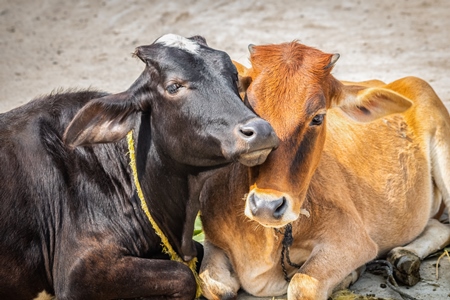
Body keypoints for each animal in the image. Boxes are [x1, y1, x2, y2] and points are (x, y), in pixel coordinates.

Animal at [199, 41, 450, 300]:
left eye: (318, 117)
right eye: (248, 107)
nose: (267, 206)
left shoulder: (354, 240)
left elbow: (301, 284)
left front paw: (348, 275)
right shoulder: (212, 241)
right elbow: (214, 286)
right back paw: (403, 257)